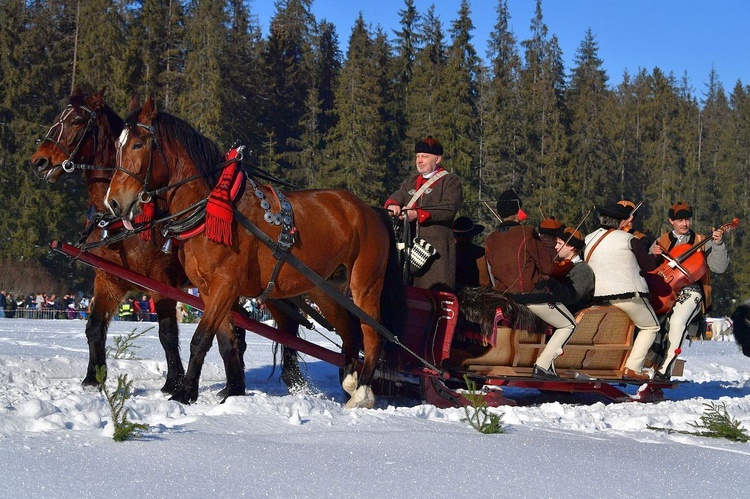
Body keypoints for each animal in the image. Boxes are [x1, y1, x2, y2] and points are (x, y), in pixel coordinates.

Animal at [104, 98, 406, 410]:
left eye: (138, 144)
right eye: (117, 145)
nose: (113, 202)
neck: (211, 208)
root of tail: (370, 211)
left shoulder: (226, 286)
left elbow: (200, 338)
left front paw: (185, 392)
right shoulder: (209, 291)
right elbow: (225, 341)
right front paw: (229, 391)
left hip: (365, 285)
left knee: (373, 334)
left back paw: (362, 393)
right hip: (326, 289)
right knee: (351, 330)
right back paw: (349, 380)